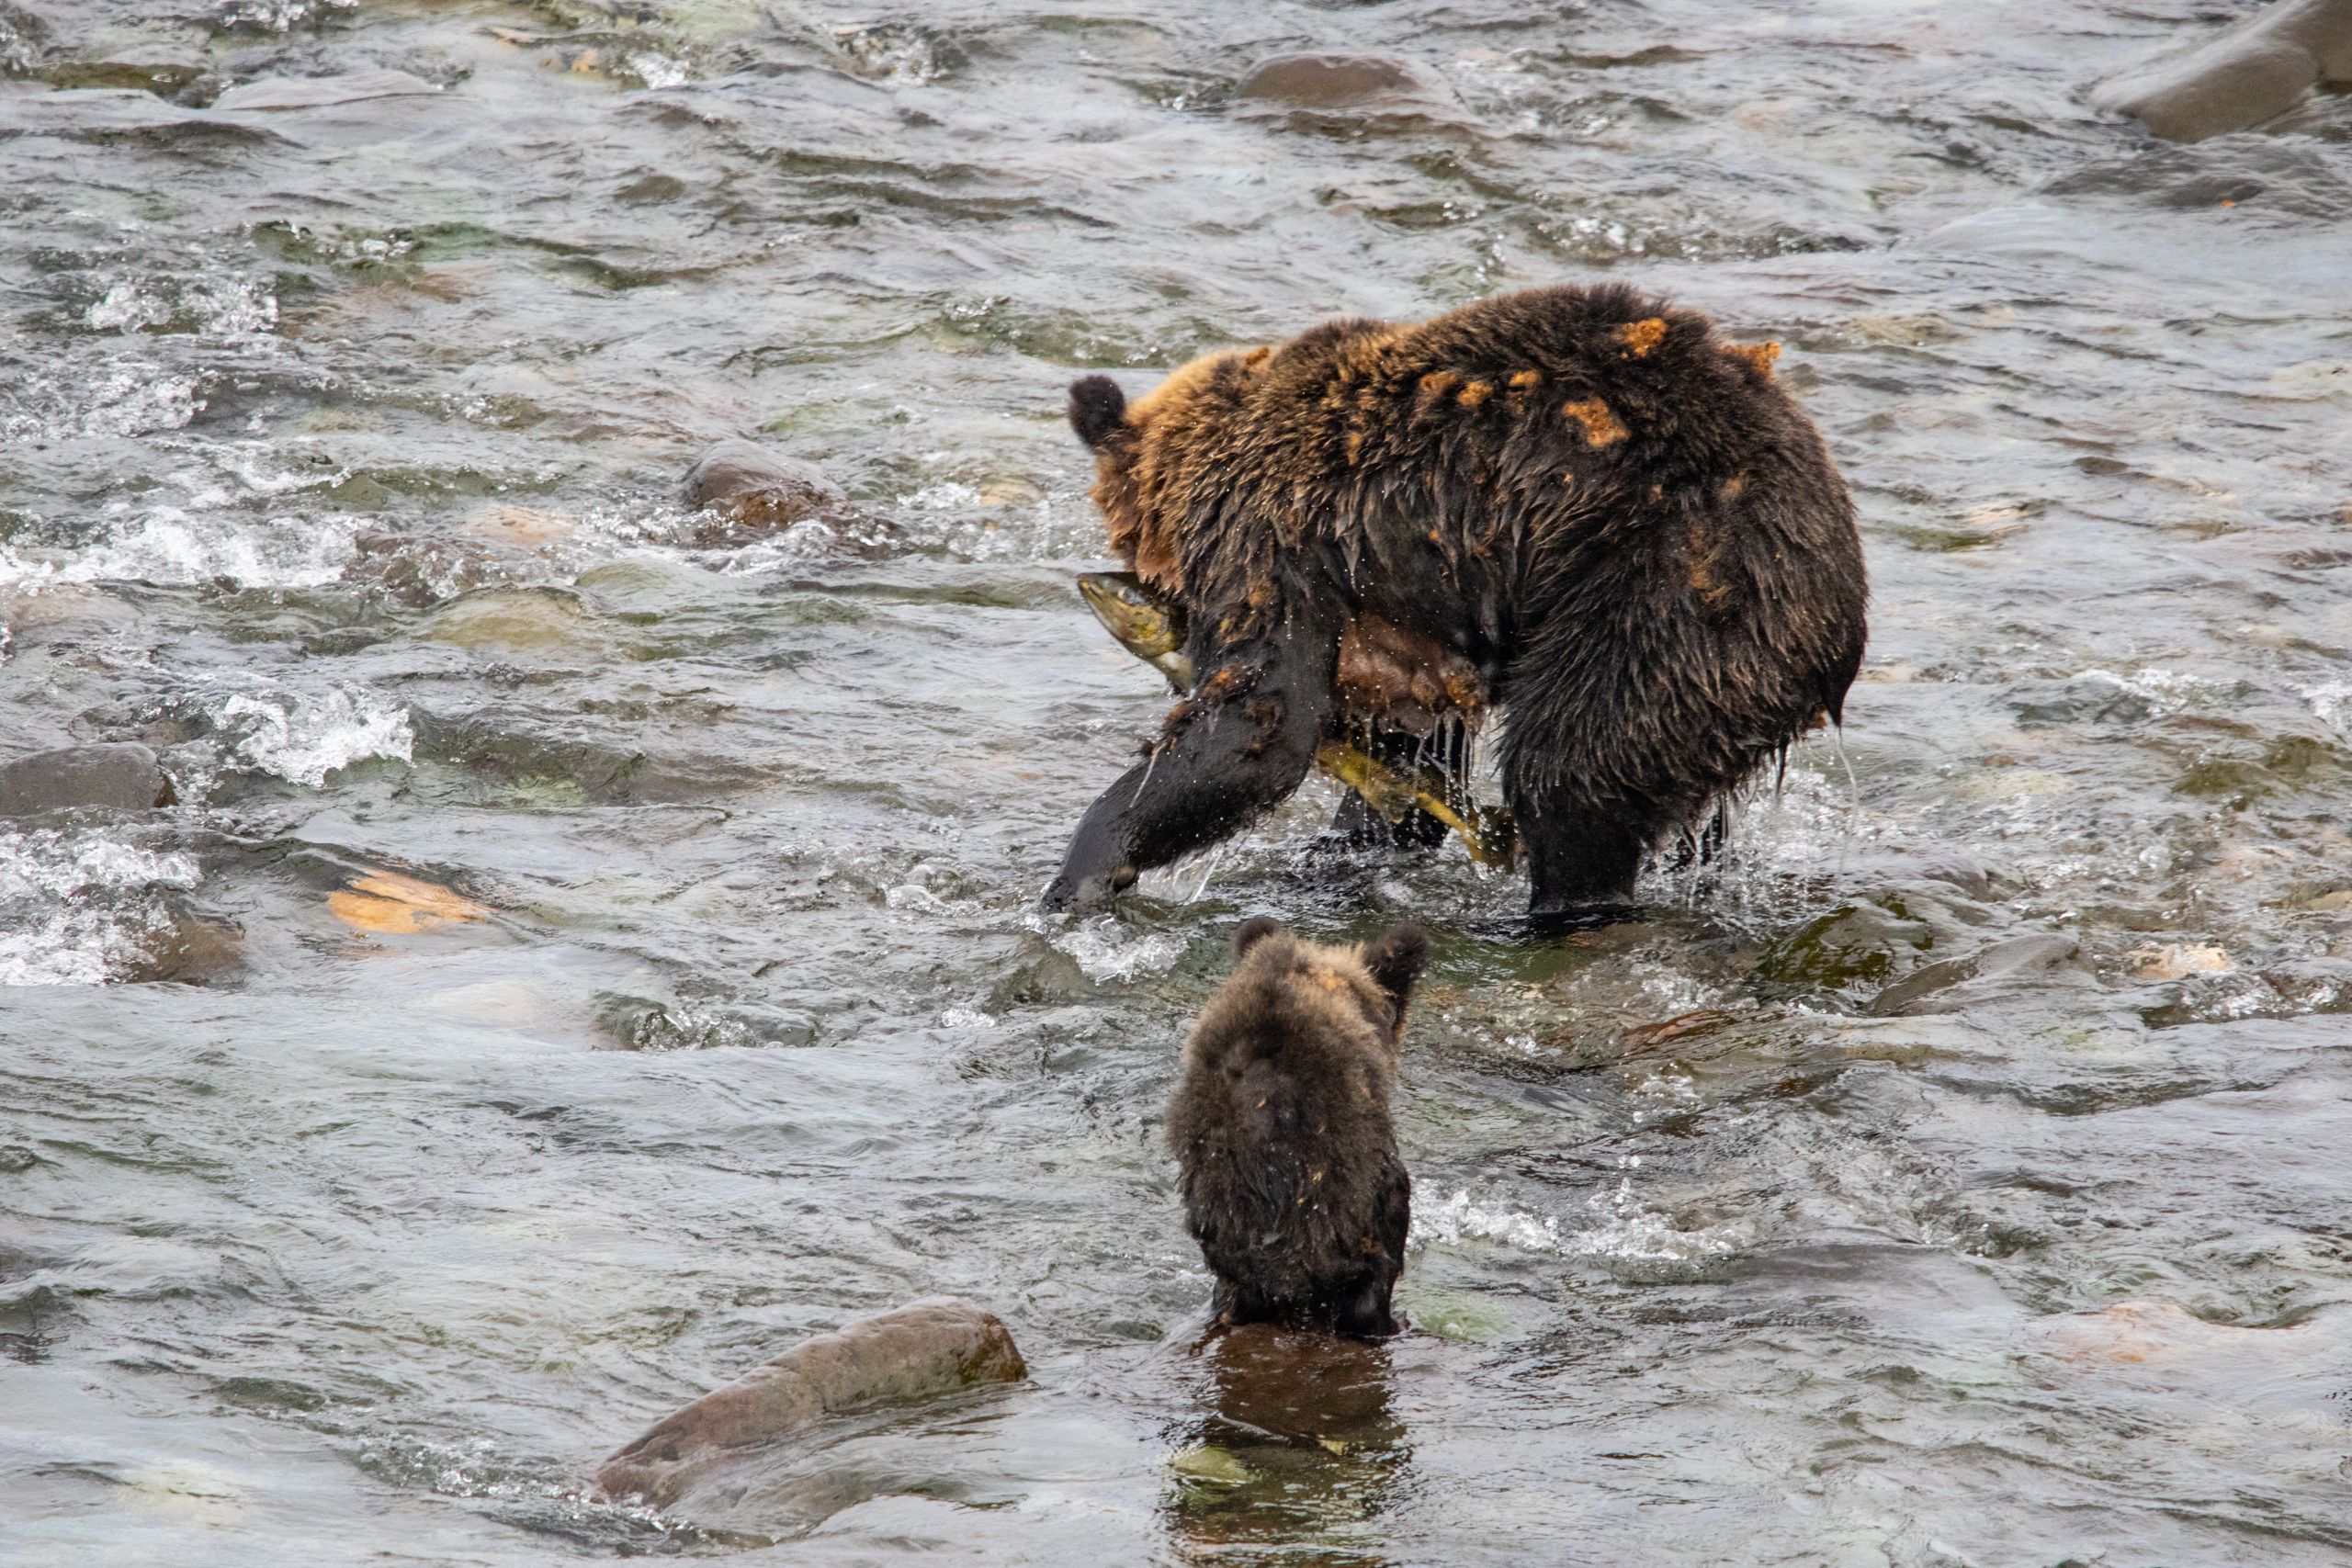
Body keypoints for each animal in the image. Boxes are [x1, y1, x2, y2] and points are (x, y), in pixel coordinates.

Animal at [1038, 282, 1868, 923]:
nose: (1119, 584)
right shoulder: (1407, 633)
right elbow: (1407, 753)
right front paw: (1345, 847)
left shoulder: (1273, 539)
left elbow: (1260, 721)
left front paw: (1082, 871)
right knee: (1683, 801)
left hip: (1669, 592)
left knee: (1574, 769)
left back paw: (1552, 909)